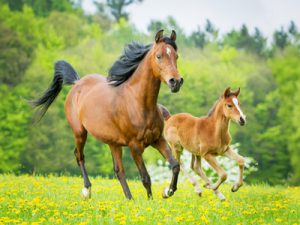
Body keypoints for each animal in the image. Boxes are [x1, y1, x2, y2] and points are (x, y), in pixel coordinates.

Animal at [32, 29, 183, 199]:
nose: (176, 82)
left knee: (118, 171)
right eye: (159, 56)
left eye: (176, 56)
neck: (139, 103)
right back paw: (87, 190)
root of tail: (77, 82)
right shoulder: (135, 147)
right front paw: (151, 202)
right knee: (79, 156)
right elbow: (145, 178)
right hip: (80, 133)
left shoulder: (157, 140)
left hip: (113, 143)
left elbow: (175, 165)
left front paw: (167, 191)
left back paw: (129, 199)